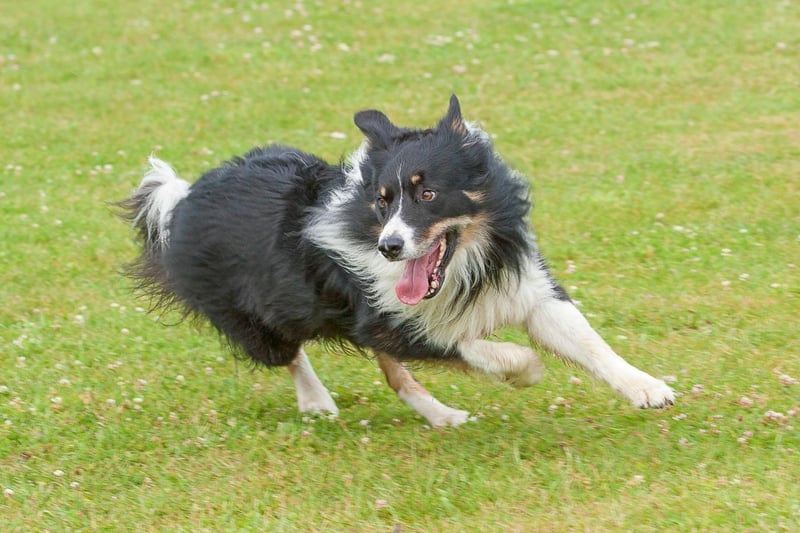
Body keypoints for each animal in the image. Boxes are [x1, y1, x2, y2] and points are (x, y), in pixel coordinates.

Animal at [115, 95, 672, 426]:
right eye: (383, 201)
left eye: (428, 195)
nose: (389, 247)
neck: (463, 262)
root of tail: (182, 195)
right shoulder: (386, 315)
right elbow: (467, 343)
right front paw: (524, 367)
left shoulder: (524, 287)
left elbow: (589, 341)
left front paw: (648, 388)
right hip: (259, 313)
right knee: (291, 352)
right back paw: (317, 401)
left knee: (392, 373)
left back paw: (442, 414)